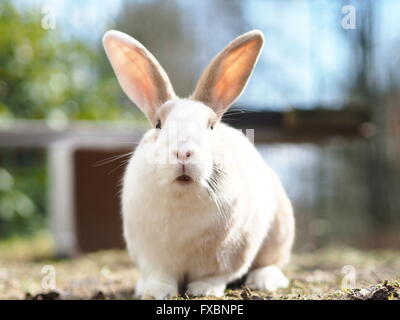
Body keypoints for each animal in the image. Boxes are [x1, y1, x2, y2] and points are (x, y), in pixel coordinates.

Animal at [103, 28, 296, 298]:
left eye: (211, 126)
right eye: (158, 125)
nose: (183, 153)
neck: (183, 198)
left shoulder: (229, 255)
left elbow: (213, 276)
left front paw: (203, 291)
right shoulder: (153, 259)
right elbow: (160, 277)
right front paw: (155, 292)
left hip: (280, 230)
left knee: (272, 262)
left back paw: (264, 280)